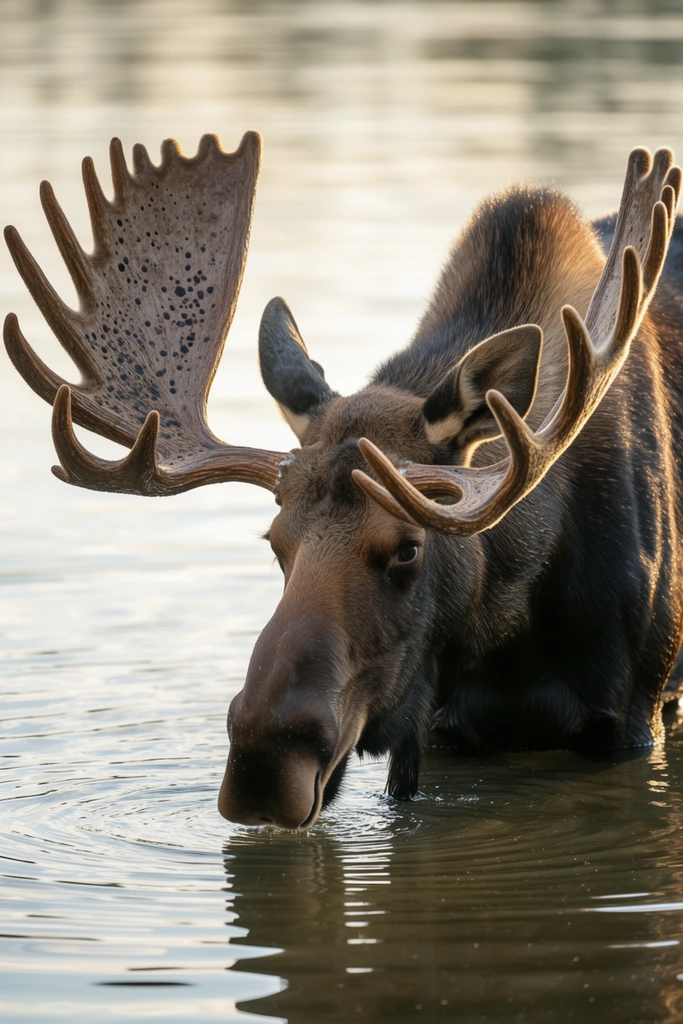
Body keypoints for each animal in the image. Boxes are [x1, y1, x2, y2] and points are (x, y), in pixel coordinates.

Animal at [4, 133, 683, 830]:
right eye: (275, 544)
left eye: (408, 548)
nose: (262, 765)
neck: (513, 615)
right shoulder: (437, 724)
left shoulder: (633, 717)